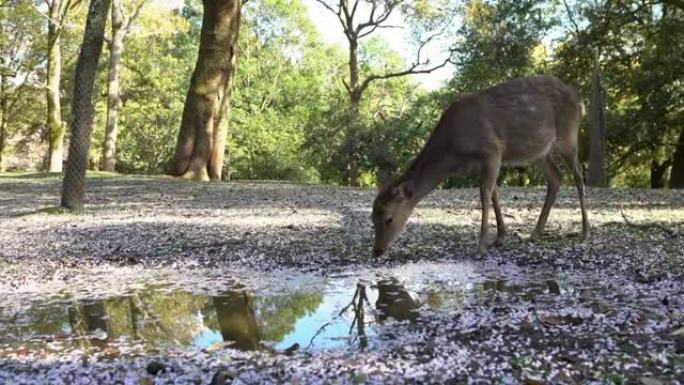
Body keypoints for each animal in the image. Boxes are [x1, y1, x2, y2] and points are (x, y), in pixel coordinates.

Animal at [372, 74, 592, 255]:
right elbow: (493, 194)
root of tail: (581, 103)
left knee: (578, 175)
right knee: (556, 177)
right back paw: (536, 233)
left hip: (568, 136)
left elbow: (484, 195)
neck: (454, 152)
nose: (377, 251)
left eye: (389, 218)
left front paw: (482, 244)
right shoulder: (483, 164)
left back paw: (584, 232)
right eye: (372, 219)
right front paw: (500, 237)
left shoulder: (492, 152)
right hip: (538, 152)